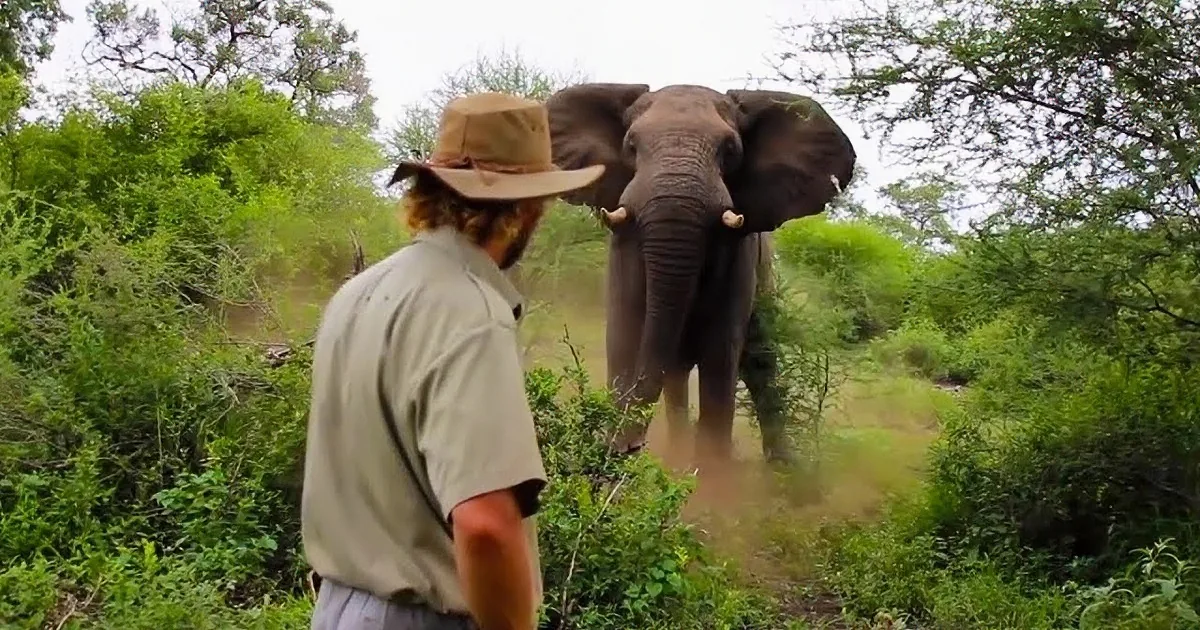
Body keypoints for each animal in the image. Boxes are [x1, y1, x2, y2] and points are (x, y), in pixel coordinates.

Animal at [544, 83, 856, 464]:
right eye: (631, 145)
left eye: (730, 150)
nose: (628, 447)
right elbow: (625, 337)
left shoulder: (739, 256)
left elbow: (721, 355)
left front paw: (711, 475)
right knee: (678, 375)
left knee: (760, 366)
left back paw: (781, 469)